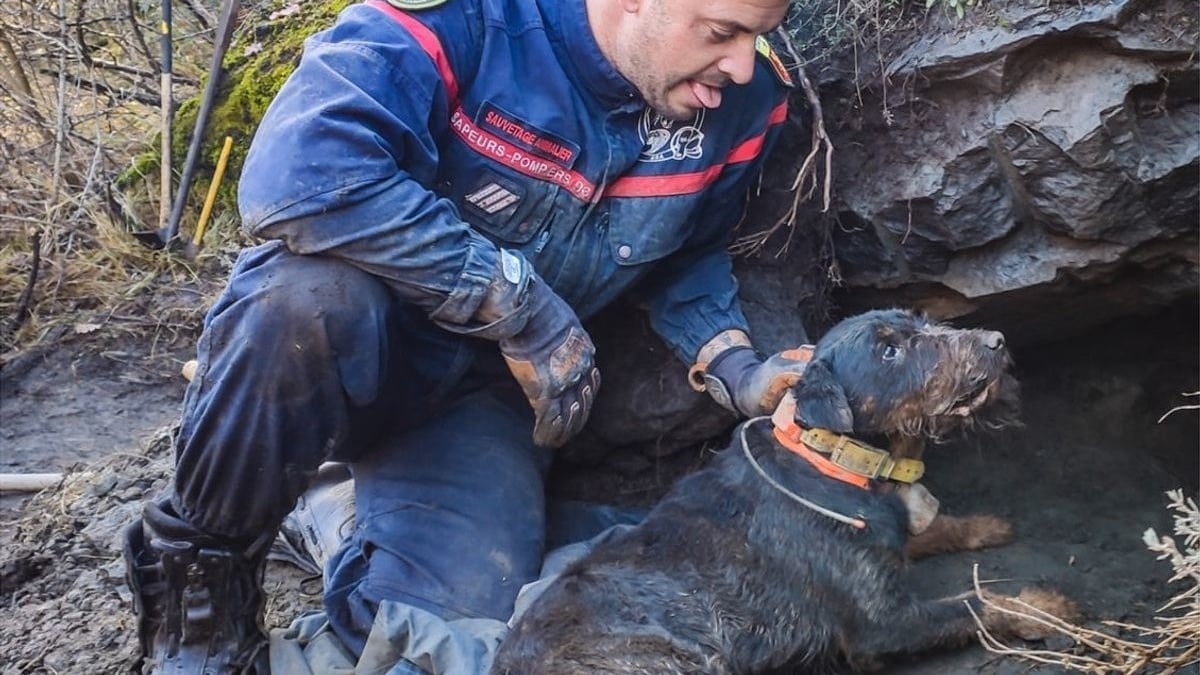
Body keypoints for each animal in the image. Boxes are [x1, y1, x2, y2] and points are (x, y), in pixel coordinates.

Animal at [487, 307, 1080, 667]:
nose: (996, 342)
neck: (834, 459)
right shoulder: (881, 624)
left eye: (922, 321)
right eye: (889, 352)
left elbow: (925, 531)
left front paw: (983, 525)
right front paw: (1044, 605)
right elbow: (975, 604)